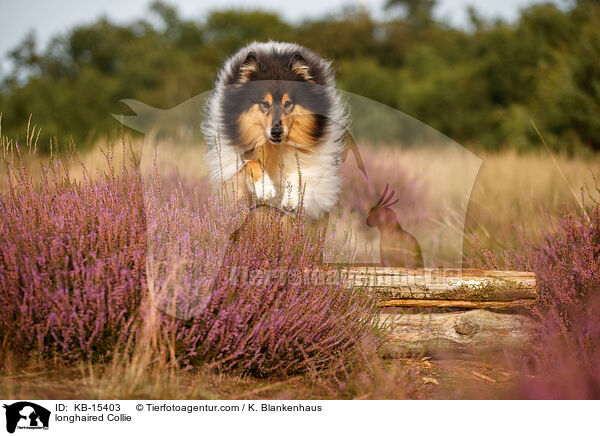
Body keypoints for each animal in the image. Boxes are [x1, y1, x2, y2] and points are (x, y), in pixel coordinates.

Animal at [204, 41, 350, 221]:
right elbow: (249, 164)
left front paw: (291, 200)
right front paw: (265, 188)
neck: (275, 147)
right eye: (265, 103)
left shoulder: (319, 163)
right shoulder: (232, 162)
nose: (276, 132)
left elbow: (300, 172)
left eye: (288, 103)